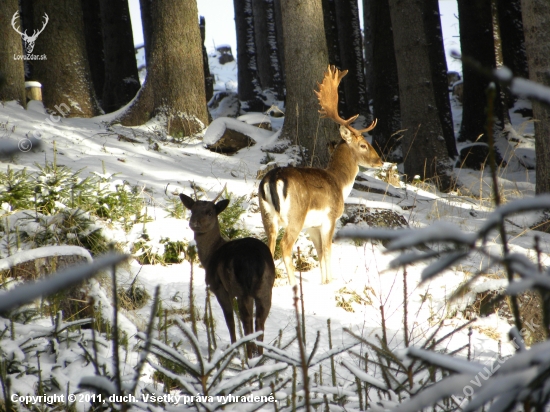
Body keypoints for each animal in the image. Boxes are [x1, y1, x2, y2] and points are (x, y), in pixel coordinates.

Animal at [260, 67, 384, 286]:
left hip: (266, 215)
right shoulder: (330, 217)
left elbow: (319, 252)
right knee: (285, 246)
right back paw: (293, 283)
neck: (340, 184)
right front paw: (330, 282)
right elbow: (327, 250)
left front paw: (324, 281)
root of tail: (272, 179)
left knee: (269, 243)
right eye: (363, 145)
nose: (380, 161)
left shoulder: (313, 225)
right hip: (295, 216)